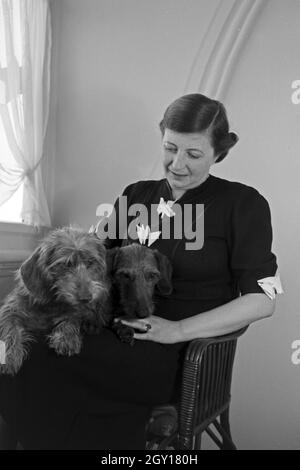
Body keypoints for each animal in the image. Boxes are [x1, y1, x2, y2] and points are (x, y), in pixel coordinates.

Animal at [0, 226, 111, 376]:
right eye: (66, 264)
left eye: (90, 262)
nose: (86, 298)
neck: (51, 303)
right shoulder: (10, 310)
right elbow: (9, 328)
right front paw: (8, 356)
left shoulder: (75, 309)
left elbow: (71, 318)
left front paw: (66, 337)